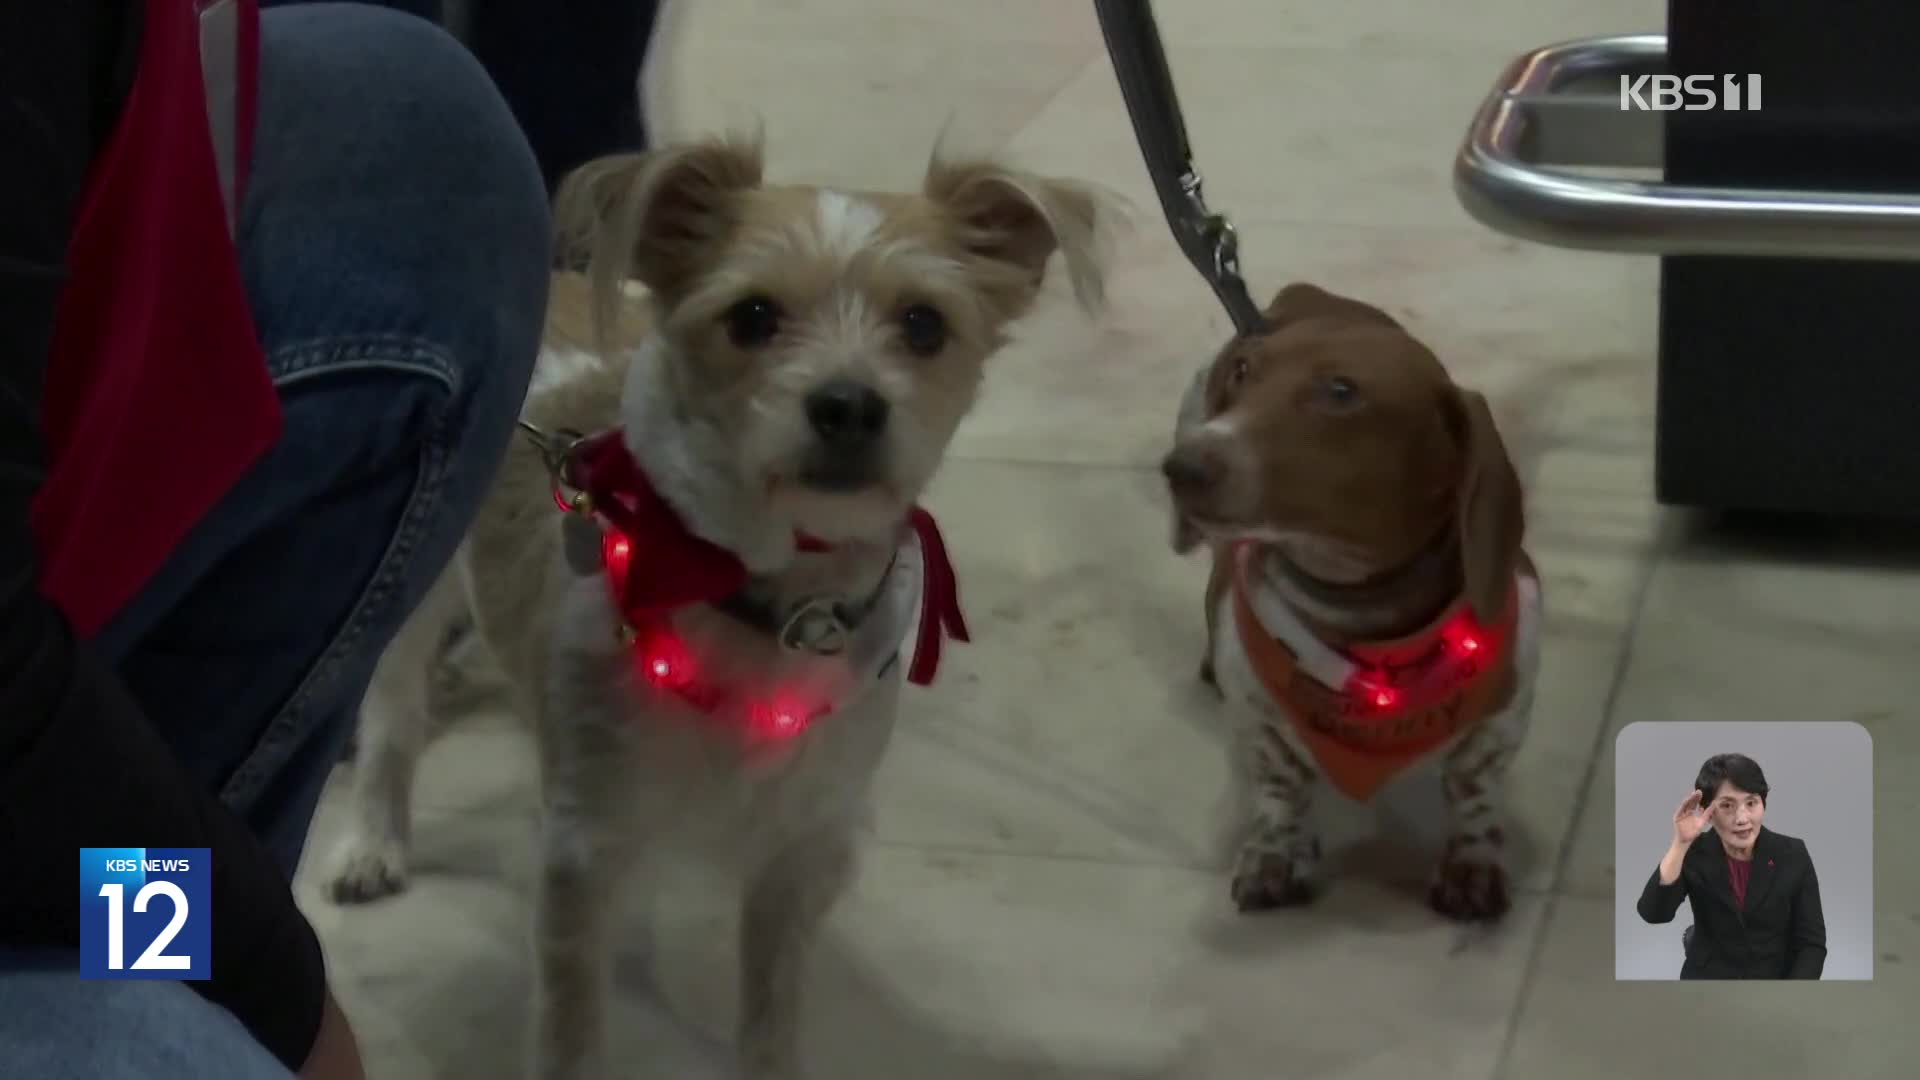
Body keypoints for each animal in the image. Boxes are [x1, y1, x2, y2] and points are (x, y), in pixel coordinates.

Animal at [324, 136, 1113, 1076]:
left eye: (925, 324)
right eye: (752, 316)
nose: (849, 404)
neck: (765, 601)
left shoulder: (799, 853)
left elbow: (770, 1014)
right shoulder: (584, 850)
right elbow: (570, 1032)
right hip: (416, 590)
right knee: (391, 715)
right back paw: (373, 839)